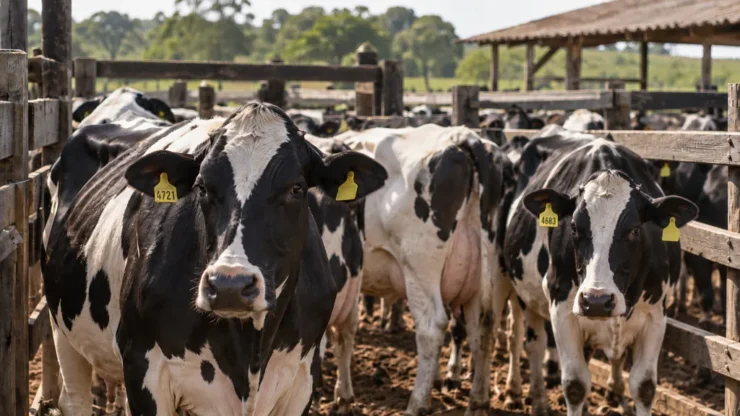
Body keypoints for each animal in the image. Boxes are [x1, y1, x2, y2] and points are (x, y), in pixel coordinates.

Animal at [43, 102, 388, 416]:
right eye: (202, 186)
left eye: (297, 188)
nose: (229, 286)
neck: (251, 352)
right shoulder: (142, 366)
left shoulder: (303, 375)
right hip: (63, 330)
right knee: (74, 399)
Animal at [337, 125, 514, 415]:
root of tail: (464, 138)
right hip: (481, 277)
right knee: (483, 326)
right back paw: (477, 401)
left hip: (419, 269)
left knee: (432, 327)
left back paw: (417, 403)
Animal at [503, 135, 697, 416]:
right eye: (573, 227)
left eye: (635, 229)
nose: (596, 300)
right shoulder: (562, 309)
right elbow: (575, 385)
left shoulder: (656, 314)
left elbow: (644, 387)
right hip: (514, 287)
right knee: (525, 340)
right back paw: (523, 395)